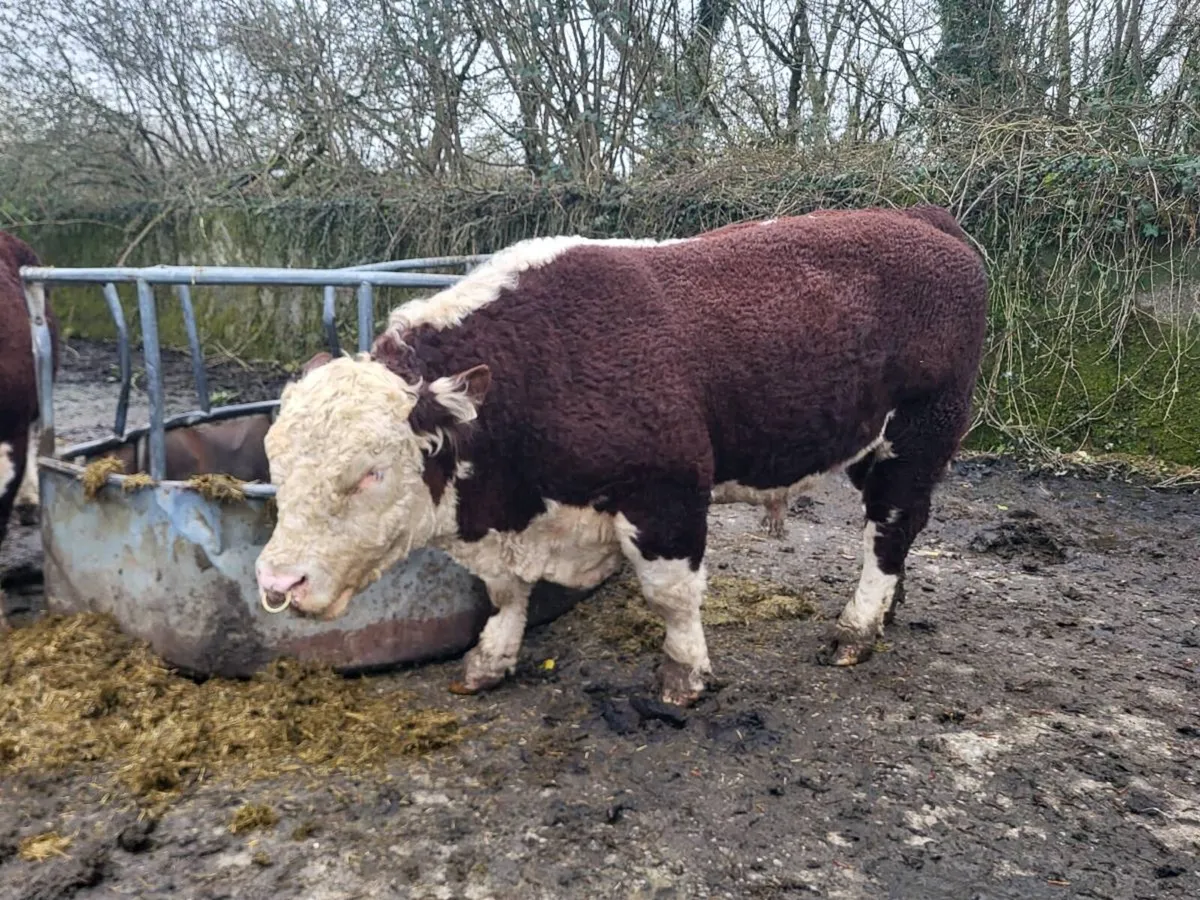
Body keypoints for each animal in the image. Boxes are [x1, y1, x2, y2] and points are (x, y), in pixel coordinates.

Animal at [254, 206, 989, 707]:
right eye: (276, 469)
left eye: (369, 474)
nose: (277, 583)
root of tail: (918, 216)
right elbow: (506, 592)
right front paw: (491, 659)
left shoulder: (667, 493)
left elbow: (671, 595)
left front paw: (683, 675)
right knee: (893, 530)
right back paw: (887, 609)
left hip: (920, 432)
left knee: (891, 524)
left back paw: (857, 628)